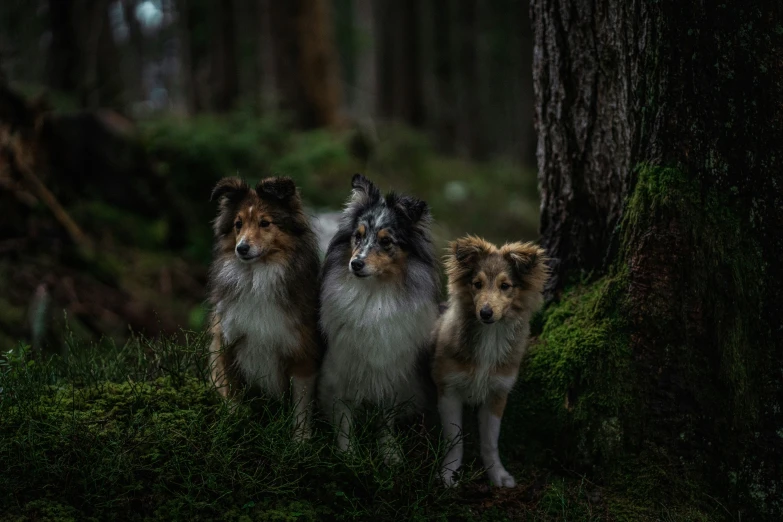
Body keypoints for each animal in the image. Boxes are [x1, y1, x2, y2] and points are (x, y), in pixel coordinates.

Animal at [207, 176, 324, 438]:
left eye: (265, 223)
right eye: (238, 224)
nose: (241, 248)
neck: (257, 278)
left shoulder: (302, 352)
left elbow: (301, 406)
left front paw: (300, 440)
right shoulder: (227, 343)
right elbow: (233, 393)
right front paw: (233, 423)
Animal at [432, 237, 548, 488]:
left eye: (505, 286)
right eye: (477, 284)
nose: (485, 313)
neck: (490, 336)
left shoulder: (497, 394)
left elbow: (490, 442)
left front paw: (496, 474)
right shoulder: (448, 390)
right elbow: (455, 439)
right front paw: (448, 473)